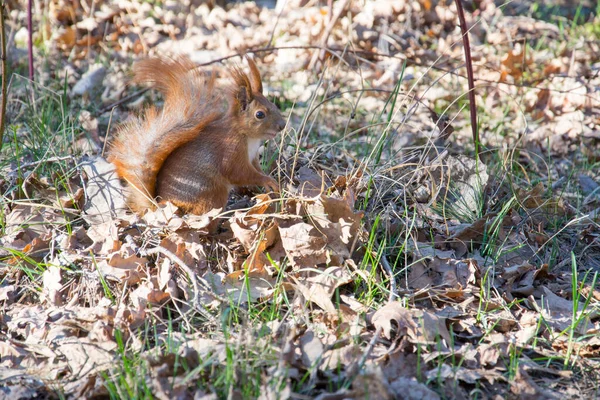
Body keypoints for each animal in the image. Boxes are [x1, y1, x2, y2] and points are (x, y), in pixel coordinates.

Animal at [109, 56, 288, 216]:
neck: (247, 136)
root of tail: (161, 204)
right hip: (211, 194)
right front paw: (267, 181)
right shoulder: (231, 151)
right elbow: (239, 173)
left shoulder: (252, 157)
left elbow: (256, 169)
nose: (282, 125)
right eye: (260, 114)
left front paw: (269, 183)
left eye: (274, 105)